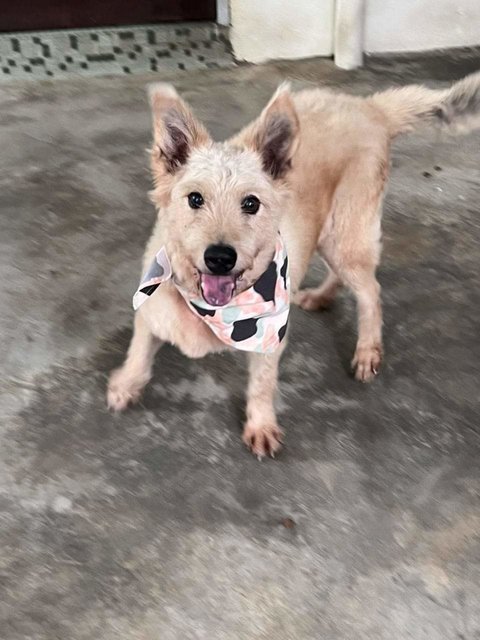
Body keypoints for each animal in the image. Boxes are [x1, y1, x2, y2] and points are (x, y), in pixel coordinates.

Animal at [107, 72, 480, 458]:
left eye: (251, 203)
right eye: (195, 199)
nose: (220, 258)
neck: (213, 309)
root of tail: (369, 107)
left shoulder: (271, 338)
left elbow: (261, 384)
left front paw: (260, 425)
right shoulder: (150, 311)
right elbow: (138, 351)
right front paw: (126, 384)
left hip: (345, 236)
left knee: (370, 292)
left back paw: (366, 350)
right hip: (329, 237)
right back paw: (321, 296)